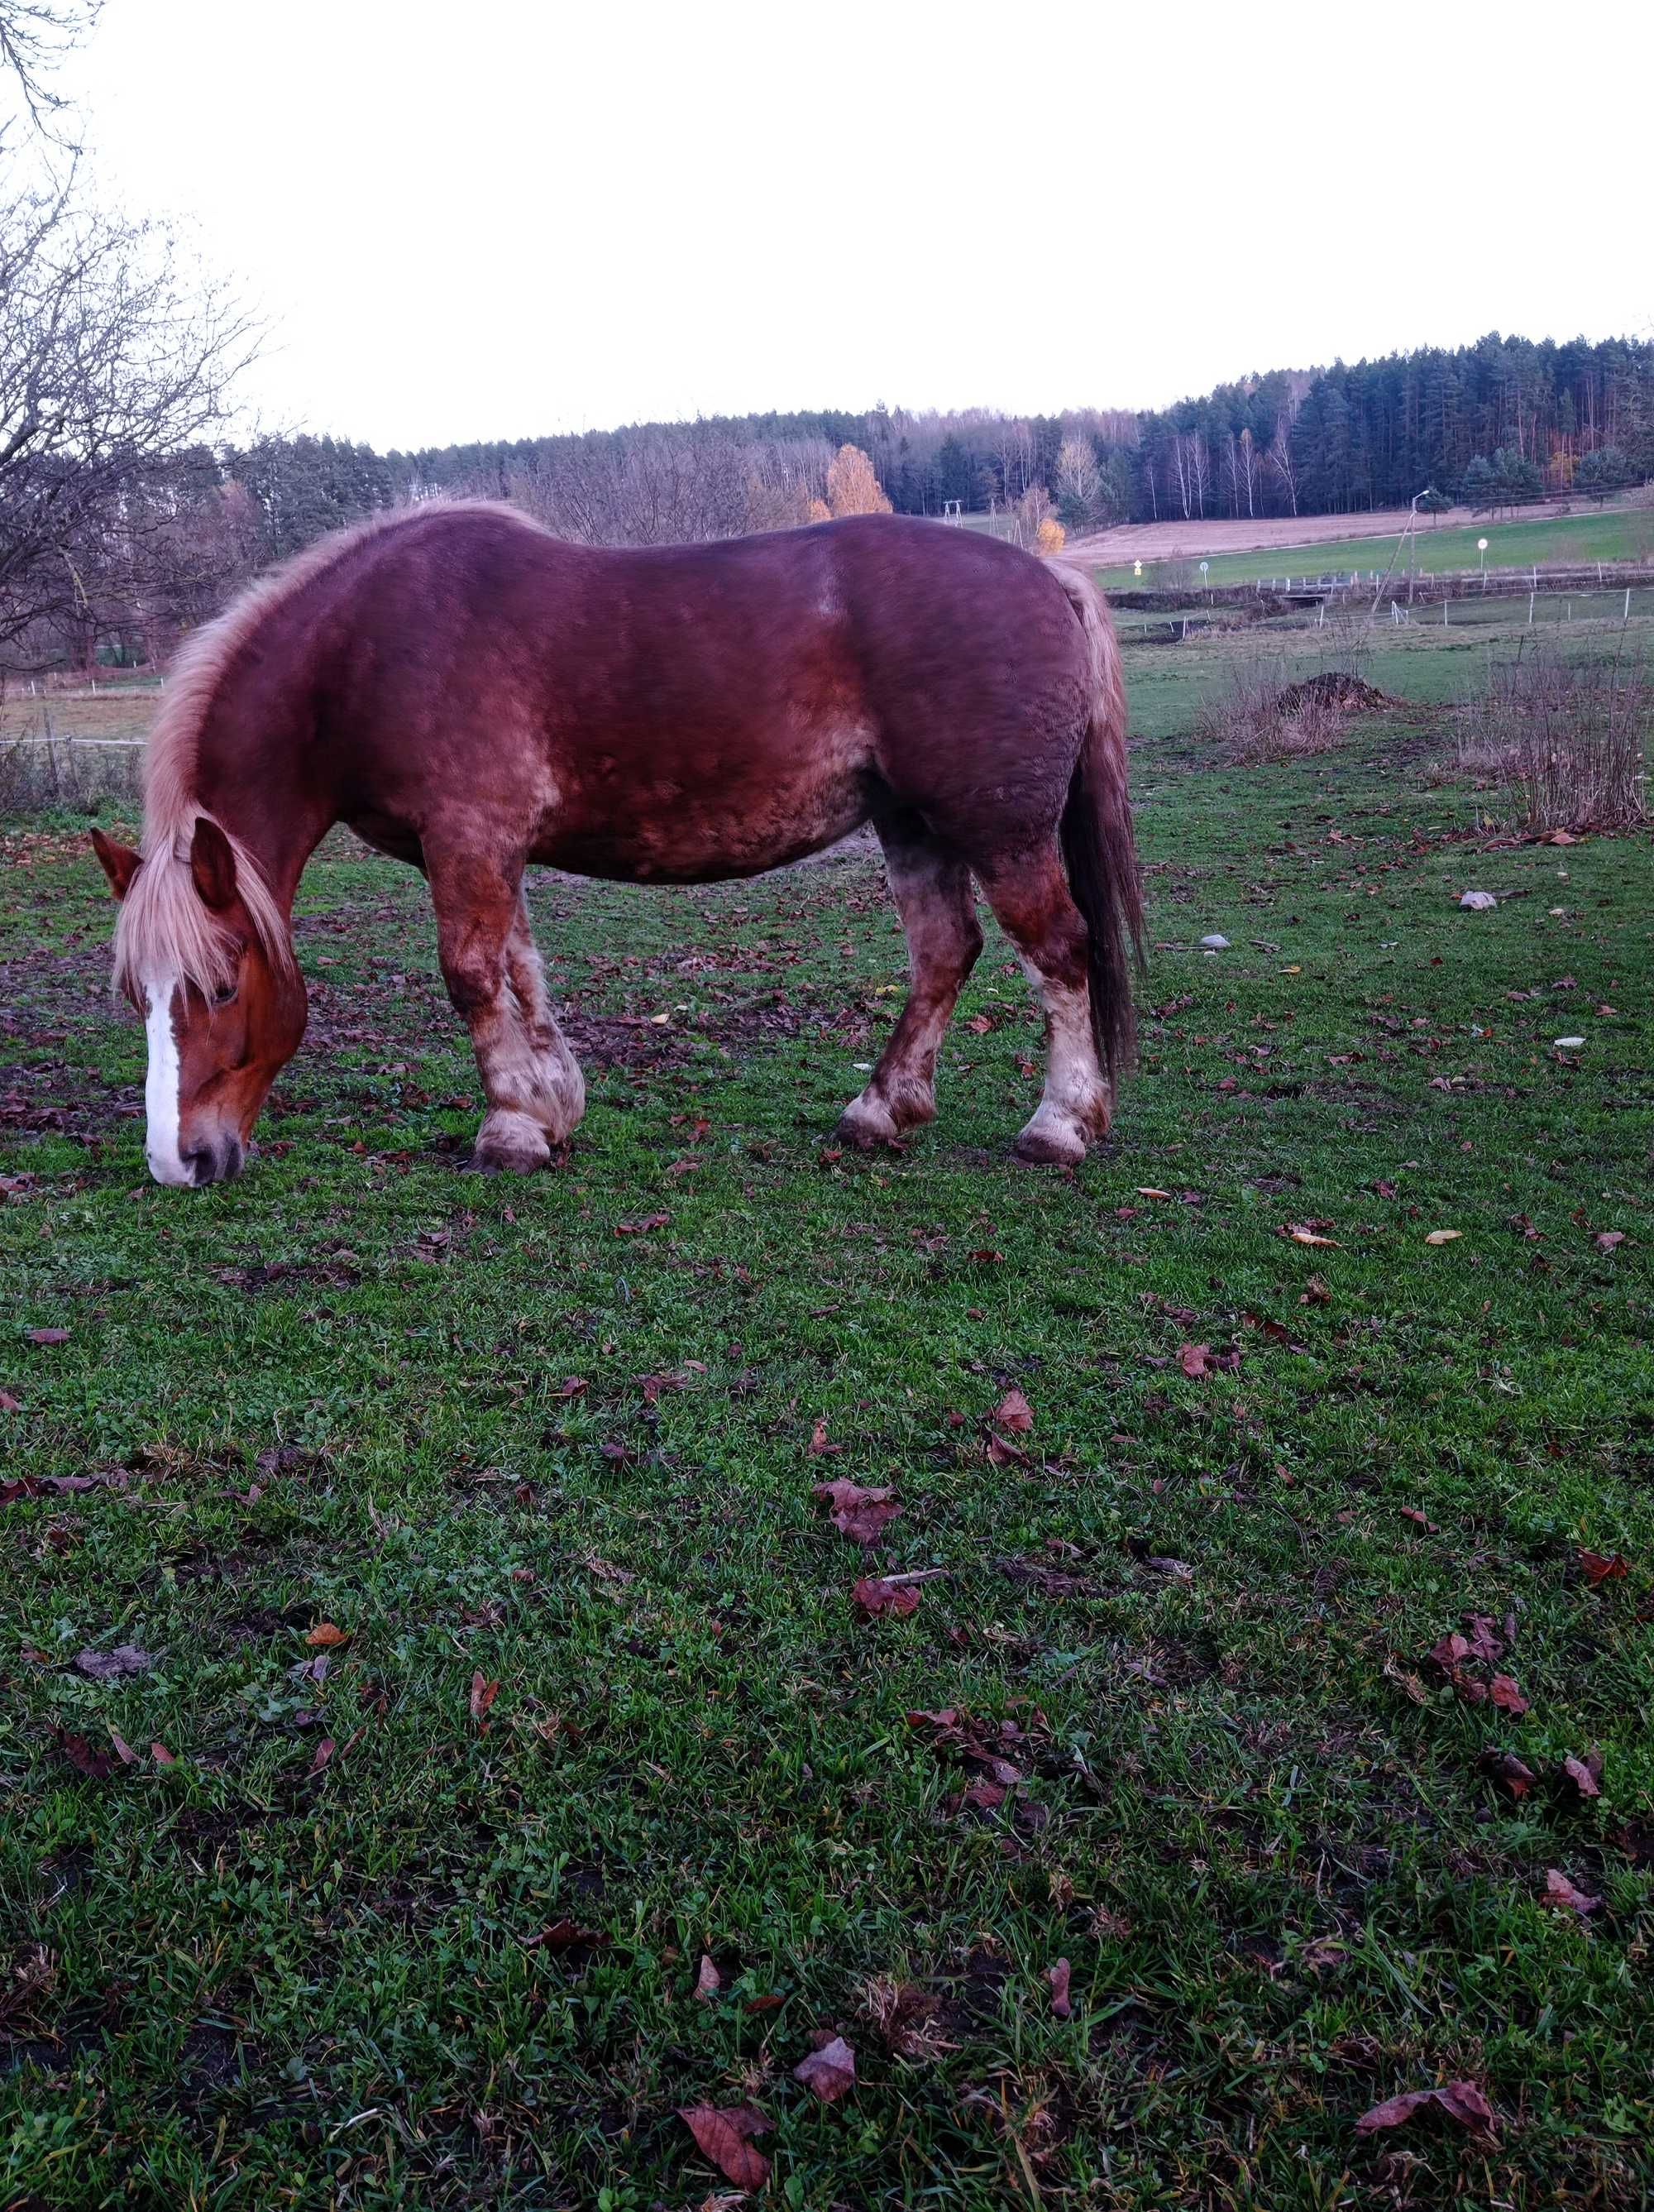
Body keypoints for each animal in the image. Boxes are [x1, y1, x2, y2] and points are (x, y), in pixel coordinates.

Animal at [93, 506, 1140, 1194]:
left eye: (219, 987)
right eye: (136, 996)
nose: (178, 1160)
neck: (367, 651)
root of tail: (1047, 579)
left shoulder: (468, 837)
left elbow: (470, 974)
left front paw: (509, 1131)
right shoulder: (485, 849)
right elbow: (518, 971)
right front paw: (550, 1106)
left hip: (999, 831)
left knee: (1057, 949)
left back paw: (1056, 1126)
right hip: (912, 824)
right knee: (943, 953)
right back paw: (878, 1112)